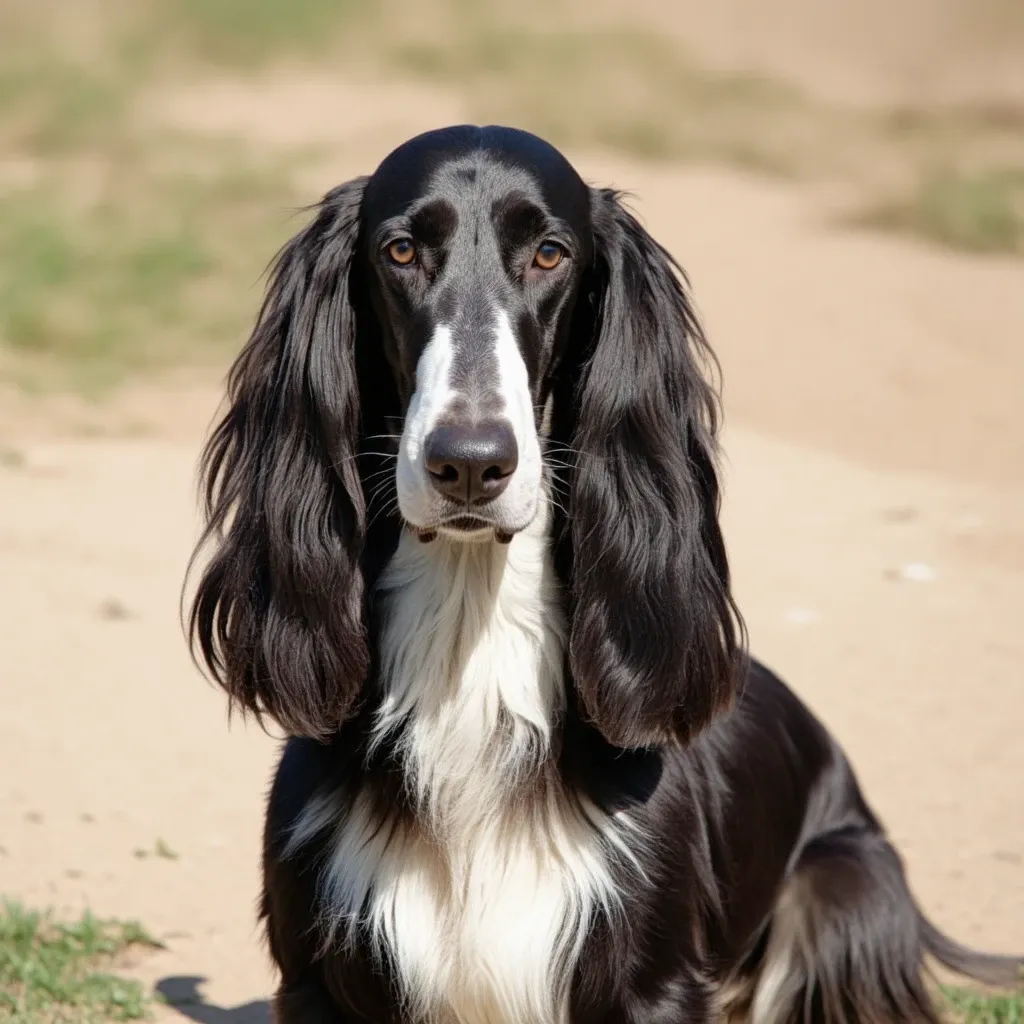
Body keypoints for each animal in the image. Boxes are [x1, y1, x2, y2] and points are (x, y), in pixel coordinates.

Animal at [188, 125, 1019, 1024]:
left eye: (550, 253)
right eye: (400, 250)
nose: (470, 463)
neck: (471, 640)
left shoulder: (651, 981)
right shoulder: (316, 973)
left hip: (839, 890)